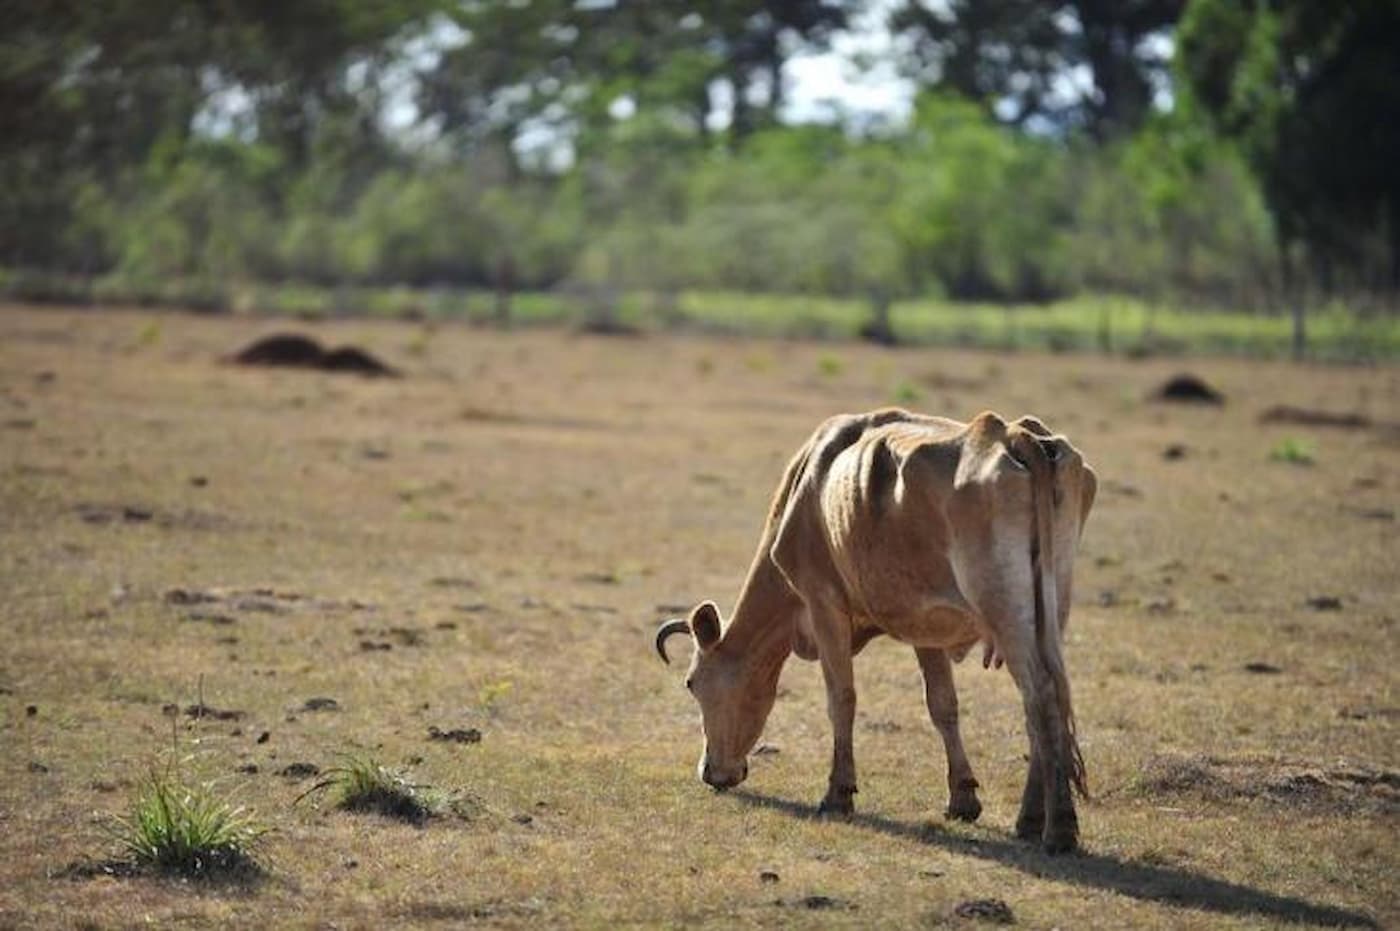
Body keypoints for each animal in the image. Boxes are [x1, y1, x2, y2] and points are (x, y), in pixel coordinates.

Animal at [655, 406, 1092, 851]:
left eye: (691, 683)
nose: (710, 772)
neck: (808, 489)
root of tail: (1016, 434)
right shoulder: (925, 623)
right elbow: (943, 705)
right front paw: (963, 797)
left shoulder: (823, 601)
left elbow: (841, 698)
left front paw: (838, 793)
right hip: (1050, 605)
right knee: (1047, 699)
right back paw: (1030, 818)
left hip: (1003, 606)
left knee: (1040, 693)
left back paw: (1058, 828)